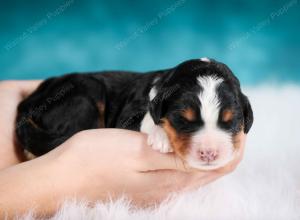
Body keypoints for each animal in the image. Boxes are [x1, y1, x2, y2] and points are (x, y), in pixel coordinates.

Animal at [15, 58, 253, 170]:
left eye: (231, 122)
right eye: (182, 120)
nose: (209, 153)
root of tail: (28, 102)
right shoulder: (128, 116)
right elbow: (148, 119)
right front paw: (161, 137)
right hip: (87, 93)